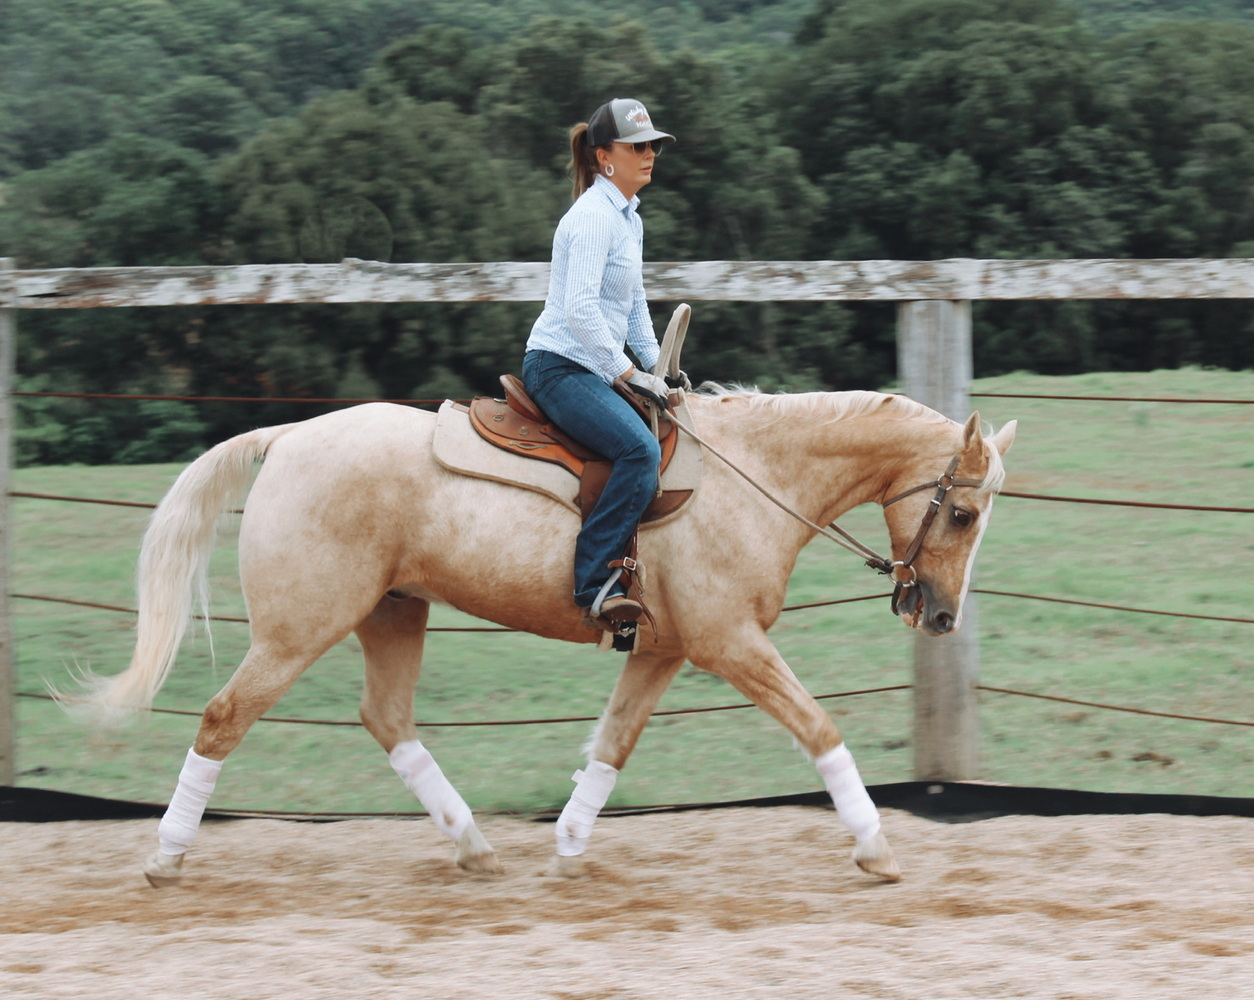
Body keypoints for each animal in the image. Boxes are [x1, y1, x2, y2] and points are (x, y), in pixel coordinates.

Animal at [72, 384, 1015, 887]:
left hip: (392, 613)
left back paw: (475, 848)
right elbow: (819, 727)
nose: (938, 616)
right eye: (962, 513)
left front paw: (566, 844)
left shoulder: (666, 650)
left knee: (388, 720)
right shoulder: (729, 645)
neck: (753, 480)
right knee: (222, 718)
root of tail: (290, 436)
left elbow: (612, 745)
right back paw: (167, 856)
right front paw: (876, 848)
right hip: (299, 629)